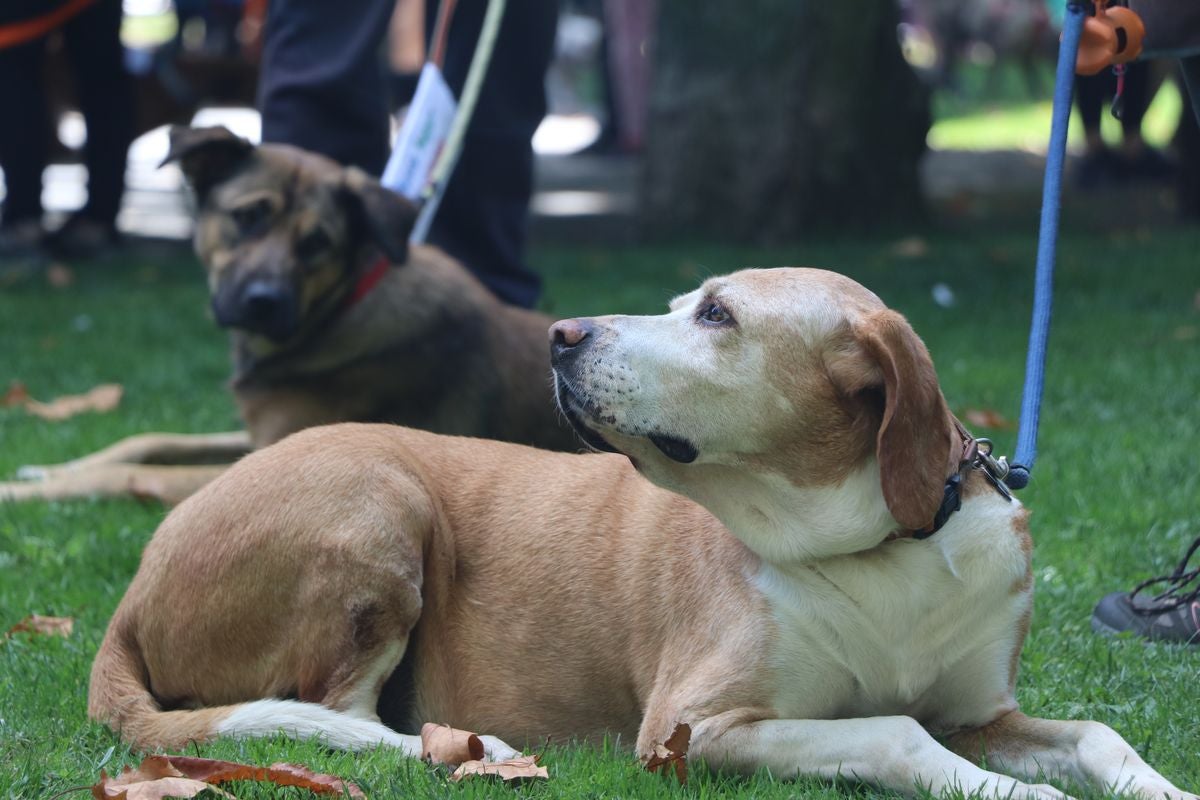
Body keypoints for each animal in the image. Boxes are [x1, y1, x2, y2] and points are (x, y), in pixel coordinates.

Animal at [3, 127, 576, 503]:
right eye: (247, 216)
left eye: (317, 242)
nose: (263, 300)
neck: (336, 313)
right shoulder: (260, 436)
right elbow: (149, 441)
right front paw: (45, 468)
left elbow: (122, 475)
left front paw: (19, 489)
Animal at [88, 271, 1195, 800]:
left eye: (715, 314)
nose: (558, 334)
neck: (882, 543)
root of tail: (130, 597)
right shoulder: (690, 727)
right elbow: (893, 730)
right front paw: (1006, 794)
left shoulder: (986, 713)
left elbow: (1094, 735)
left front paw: (1162, 786)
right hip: (377, 499)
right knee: (340, 719)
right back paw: (467, 746)